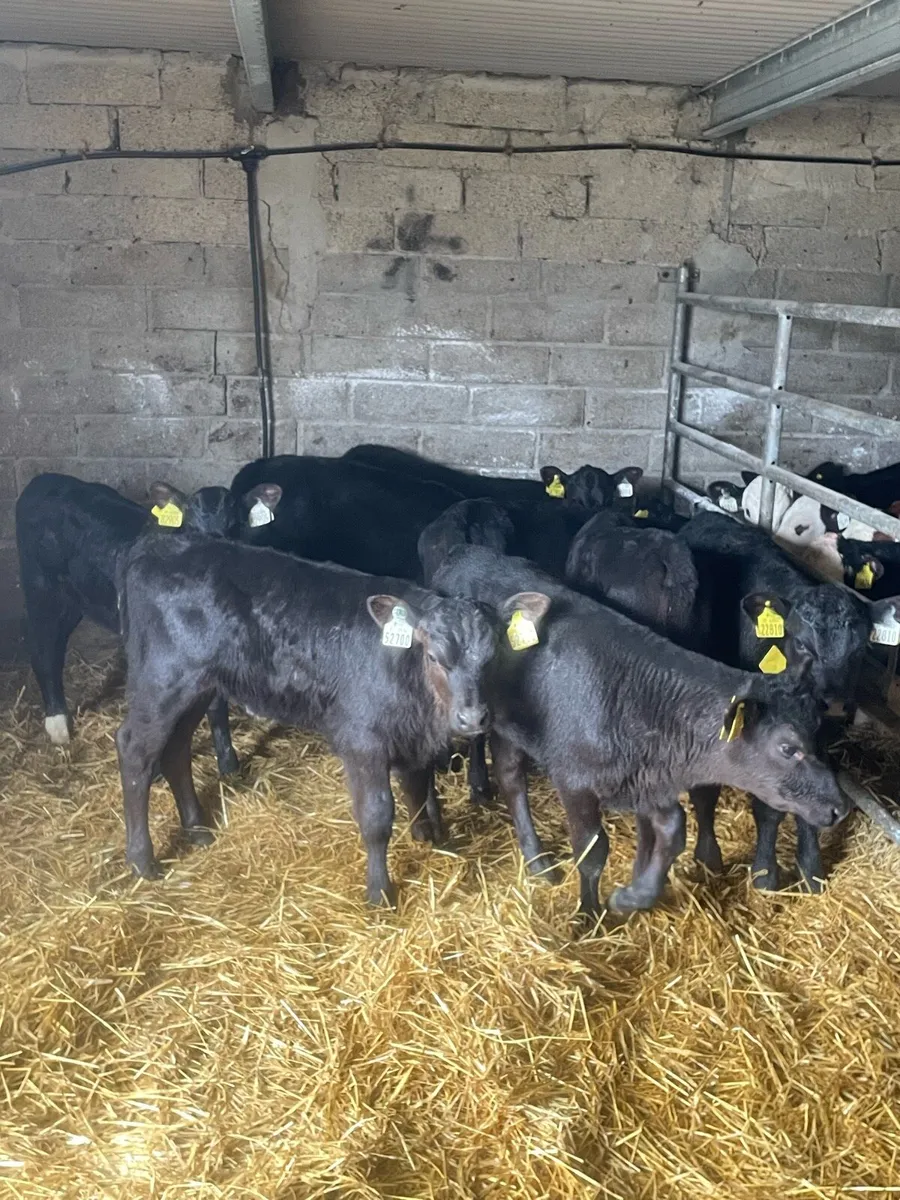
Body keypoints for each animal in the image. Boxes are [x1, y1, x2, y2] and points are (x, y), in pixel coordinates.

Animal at [15, 473, 249, 775]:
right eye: (192, 529)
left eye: (236, 526)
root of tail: (42, 479)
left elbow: (216, 703)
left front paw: (229, 765)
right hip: (41, 588)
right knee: (44, 651)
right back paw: (58, 726)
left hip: (75, 600)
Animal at [115, 535, 524, 904]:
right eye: (435, 657)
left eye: (492, 657)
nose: (472, 717)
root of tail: (157, 544)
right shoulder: (363, 741)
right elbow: (377, 816)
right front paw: (380, 892)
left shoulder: (411, 736)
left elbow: (420, 788)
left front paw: (430, 838)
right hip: (163, 679)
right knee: (134, 750)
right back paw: (142, 860)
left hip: (198, 686)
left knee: (176, 749)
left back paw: (197, 829)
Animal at [431, 545, 848, 918]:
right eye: (787, 747)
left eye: (819, 729)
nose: (840, 807)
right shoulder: (574, 780)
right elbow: (592, 851)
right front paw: (589, 915)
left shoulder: (646, 778)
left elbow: (671, 832)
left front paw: (630, 898)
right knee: (511, 776)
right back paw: (533, 853)